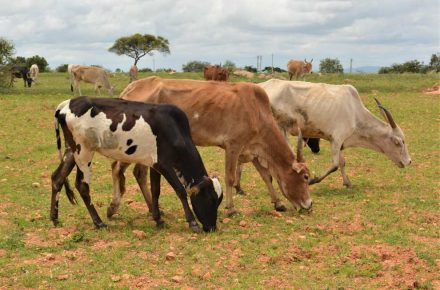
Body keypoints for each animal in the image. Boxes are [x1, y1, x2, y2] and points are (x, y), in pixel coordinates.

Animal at [50, 96, 223, 232]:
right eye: (211, 200)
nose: (212, 228)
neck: (174, 129)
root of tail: (67, 104)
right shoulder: (164, 164)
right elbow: (180, 190)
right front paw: (192, 223)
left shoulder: (155, 165)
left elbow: (155, 190)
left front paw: (158, 219)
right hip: (84, 151)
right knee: (82, 185)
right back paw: (98, 222)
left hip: (71, 151)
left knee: (57, 178)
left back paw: (54, 218)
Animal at [108, 76, 312, 216]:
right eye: (305, 177)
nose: (309, 205)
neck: (257, 111)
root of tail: (130, 88)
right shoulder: (233, 146)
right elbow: (230, 178)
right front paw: (231, 208)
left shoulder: (252, 150)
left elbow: (267, 176)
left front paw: (278, 203)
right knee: (118, 168)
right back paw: (113, 207)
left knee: (137, 173)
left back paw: (151, 208)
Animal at [260, 79, 410, 187]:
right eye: (398, 142)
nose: (408, 161)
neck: (355, 113)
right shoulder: (337, 138)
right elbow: (335, 165)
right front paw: (312, 180)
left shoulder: (339, 142)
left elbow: (342, 163)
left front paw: (348, 183)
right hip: (279, 127)